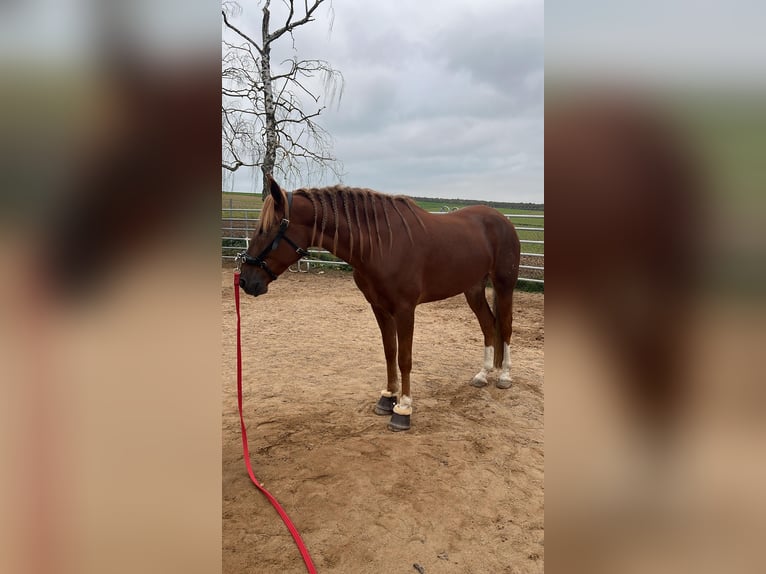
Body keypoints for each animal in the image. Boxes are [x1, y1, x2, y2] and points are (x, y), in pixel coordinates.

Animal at [238, 176, 520, 432]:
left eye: (267, 229)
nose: (246, 281)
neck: (381, 244)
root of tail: (502, 220)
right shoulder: (380, 308)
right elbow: (389, 352)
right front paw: (387, 398)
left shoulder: (405, 310)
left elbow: (405, 358)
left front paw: (403, 409)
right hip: (473, 289)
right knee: (488, 324)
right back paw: (483, 374)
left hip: (504, 285)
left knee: (505, 326)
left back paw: (505, 376)